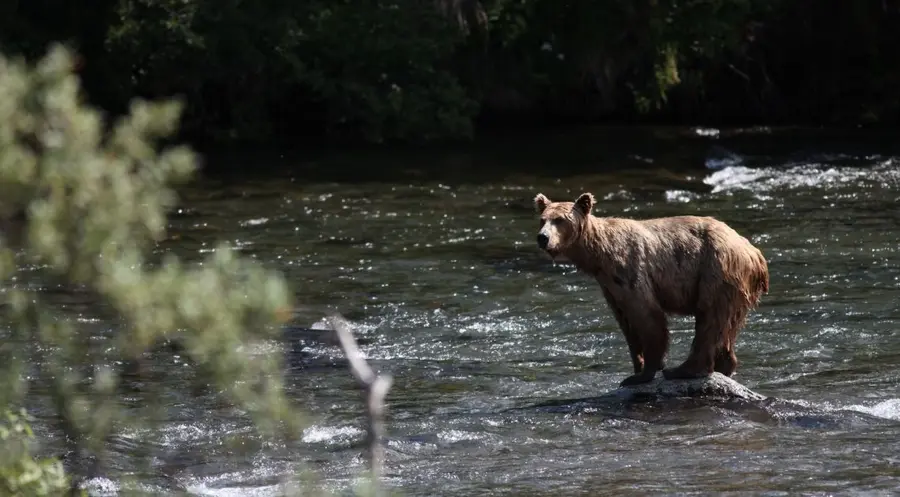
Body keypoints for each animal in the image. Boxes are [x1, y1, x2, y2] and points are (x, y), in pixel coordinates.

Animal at [532, 192, 768, 386]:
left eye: (560, 220)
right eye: (543, 219)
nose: (542, 237)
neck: (599, 257)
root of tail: (754, 252)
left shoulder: (629, 270)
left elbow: (648, 316)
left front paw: (643, 373)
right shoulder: (609, 287)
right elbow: (627, 324)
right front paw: (637, 366)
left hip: (716, 270)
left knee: (709, 318)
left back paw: (683, 370)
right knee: (726, 326)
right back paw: (723, 366)